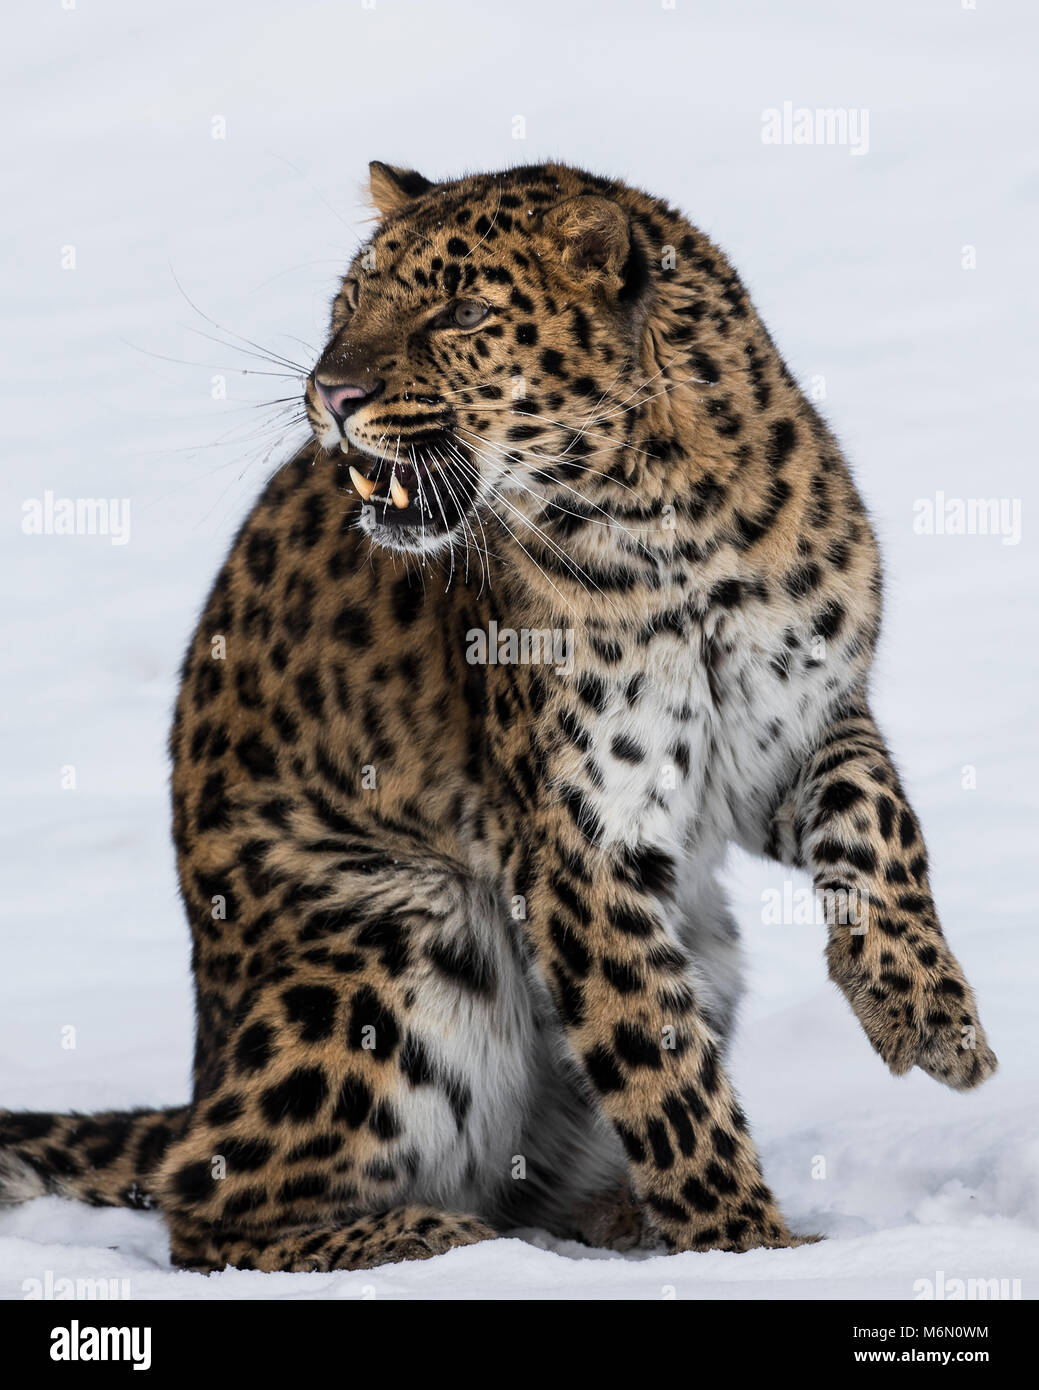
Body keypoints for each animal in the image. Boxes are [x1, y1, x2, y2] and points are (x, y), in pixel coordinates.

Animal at [0, 160, 997, 1272]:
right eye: (352, 302)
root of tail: (198, 1077)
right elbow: (662, 1070)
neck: (672, 516)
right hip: (399, 939)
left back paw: (602, 1223)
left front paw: (929, 1015)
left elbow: (879, 820)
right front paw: (749, 1249)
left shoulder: (792, 733)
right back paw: (439, 1239)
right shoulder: (578, 836)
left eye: (462, 312)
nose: (330, 392)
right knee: (211, 1203)